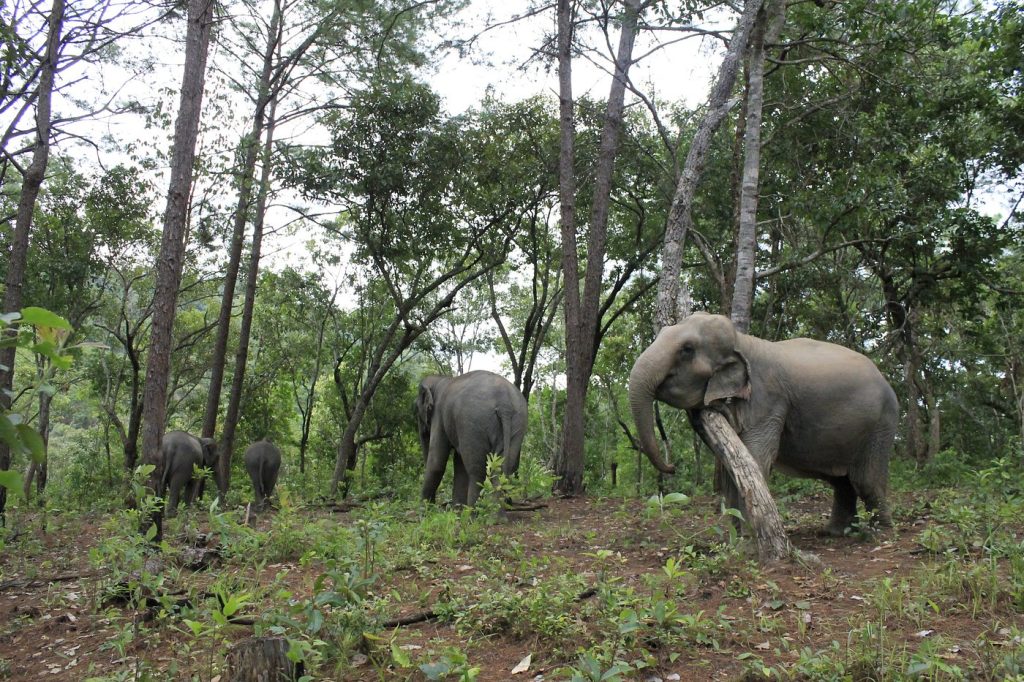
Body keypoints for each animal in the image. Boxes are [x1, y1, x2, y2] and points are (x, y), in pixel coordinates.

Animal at [416, 370, 528, 507]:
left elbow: (436, 462)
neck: (440, 379)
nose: (433, 503)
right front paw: (456, 508)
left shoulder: (439, 415)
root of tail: (504, 403)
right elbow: (459, 462)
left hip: (472, 422)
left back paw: (473, 511)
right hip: (518, 422)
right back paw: (497, 511)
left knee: (476, 471)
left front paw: (425, 509)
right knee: (501, 467)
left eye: (416, 409)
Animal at [628, 312, 898, 536]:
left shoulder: (768, 400)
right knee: (841, 480)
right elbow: (730, 466)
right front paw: (735, 539)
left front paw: (747, 541)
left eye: (687, 349)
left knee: (865, 480)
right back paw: (835, 533)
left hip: (881, 425)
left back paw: (880, 534)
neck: (742, 341)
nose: (672, 466)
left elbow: (755, 460)